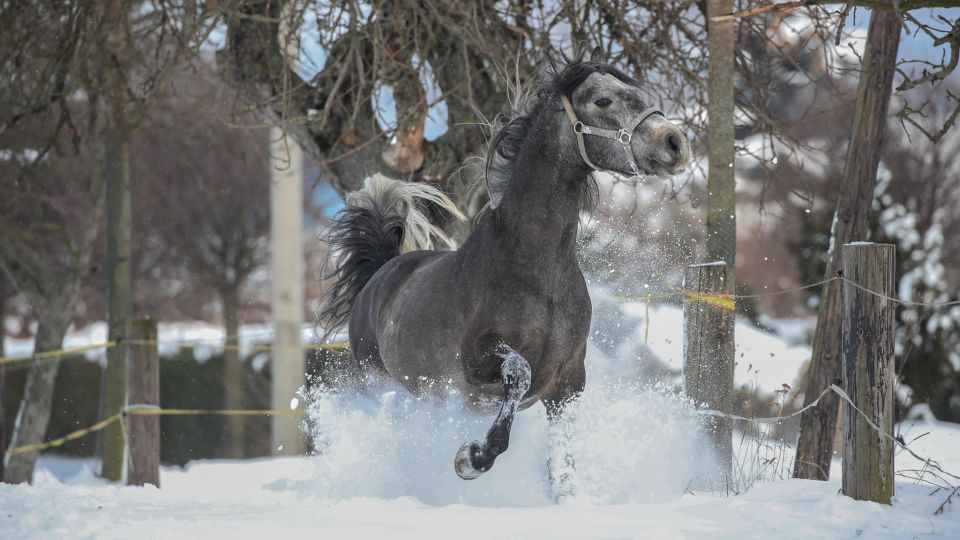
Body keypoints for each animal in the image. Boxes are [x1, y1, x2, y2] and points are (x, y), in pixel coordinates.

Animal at [317, 47, 692, 485]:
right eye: (603, 100)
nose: (675, 143)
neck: (537, 270)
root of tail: (379, 274)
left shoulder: (568, 383)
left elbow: (562, 463)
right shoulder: (478, 363)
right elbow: (519, 372)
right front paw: (472, 458)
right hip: (375, 383)